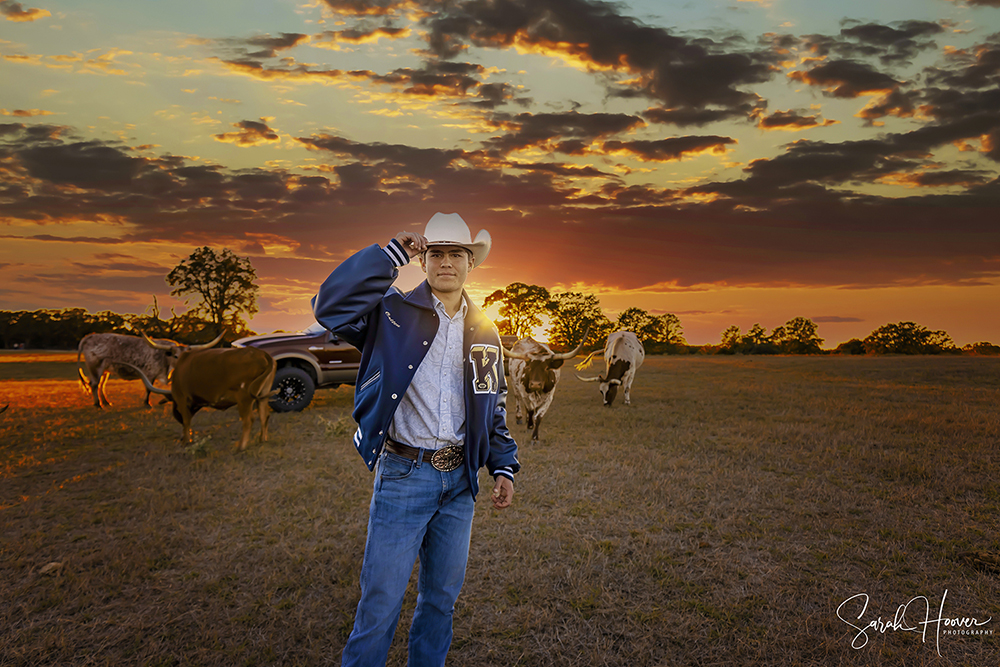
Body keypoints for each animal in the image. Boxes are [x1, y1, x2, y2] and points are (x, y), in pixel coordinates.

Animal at [78, 328, 227, 408]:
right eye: (176, 356)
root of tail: (89, 336)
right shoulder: (149, 373)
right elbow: (148, 388)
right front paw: (146, 403)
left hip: (105, 370)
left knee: (101, 385)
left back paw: (106, 402)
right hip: (95, 367)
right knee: (94, 384)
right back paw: (98, 404)